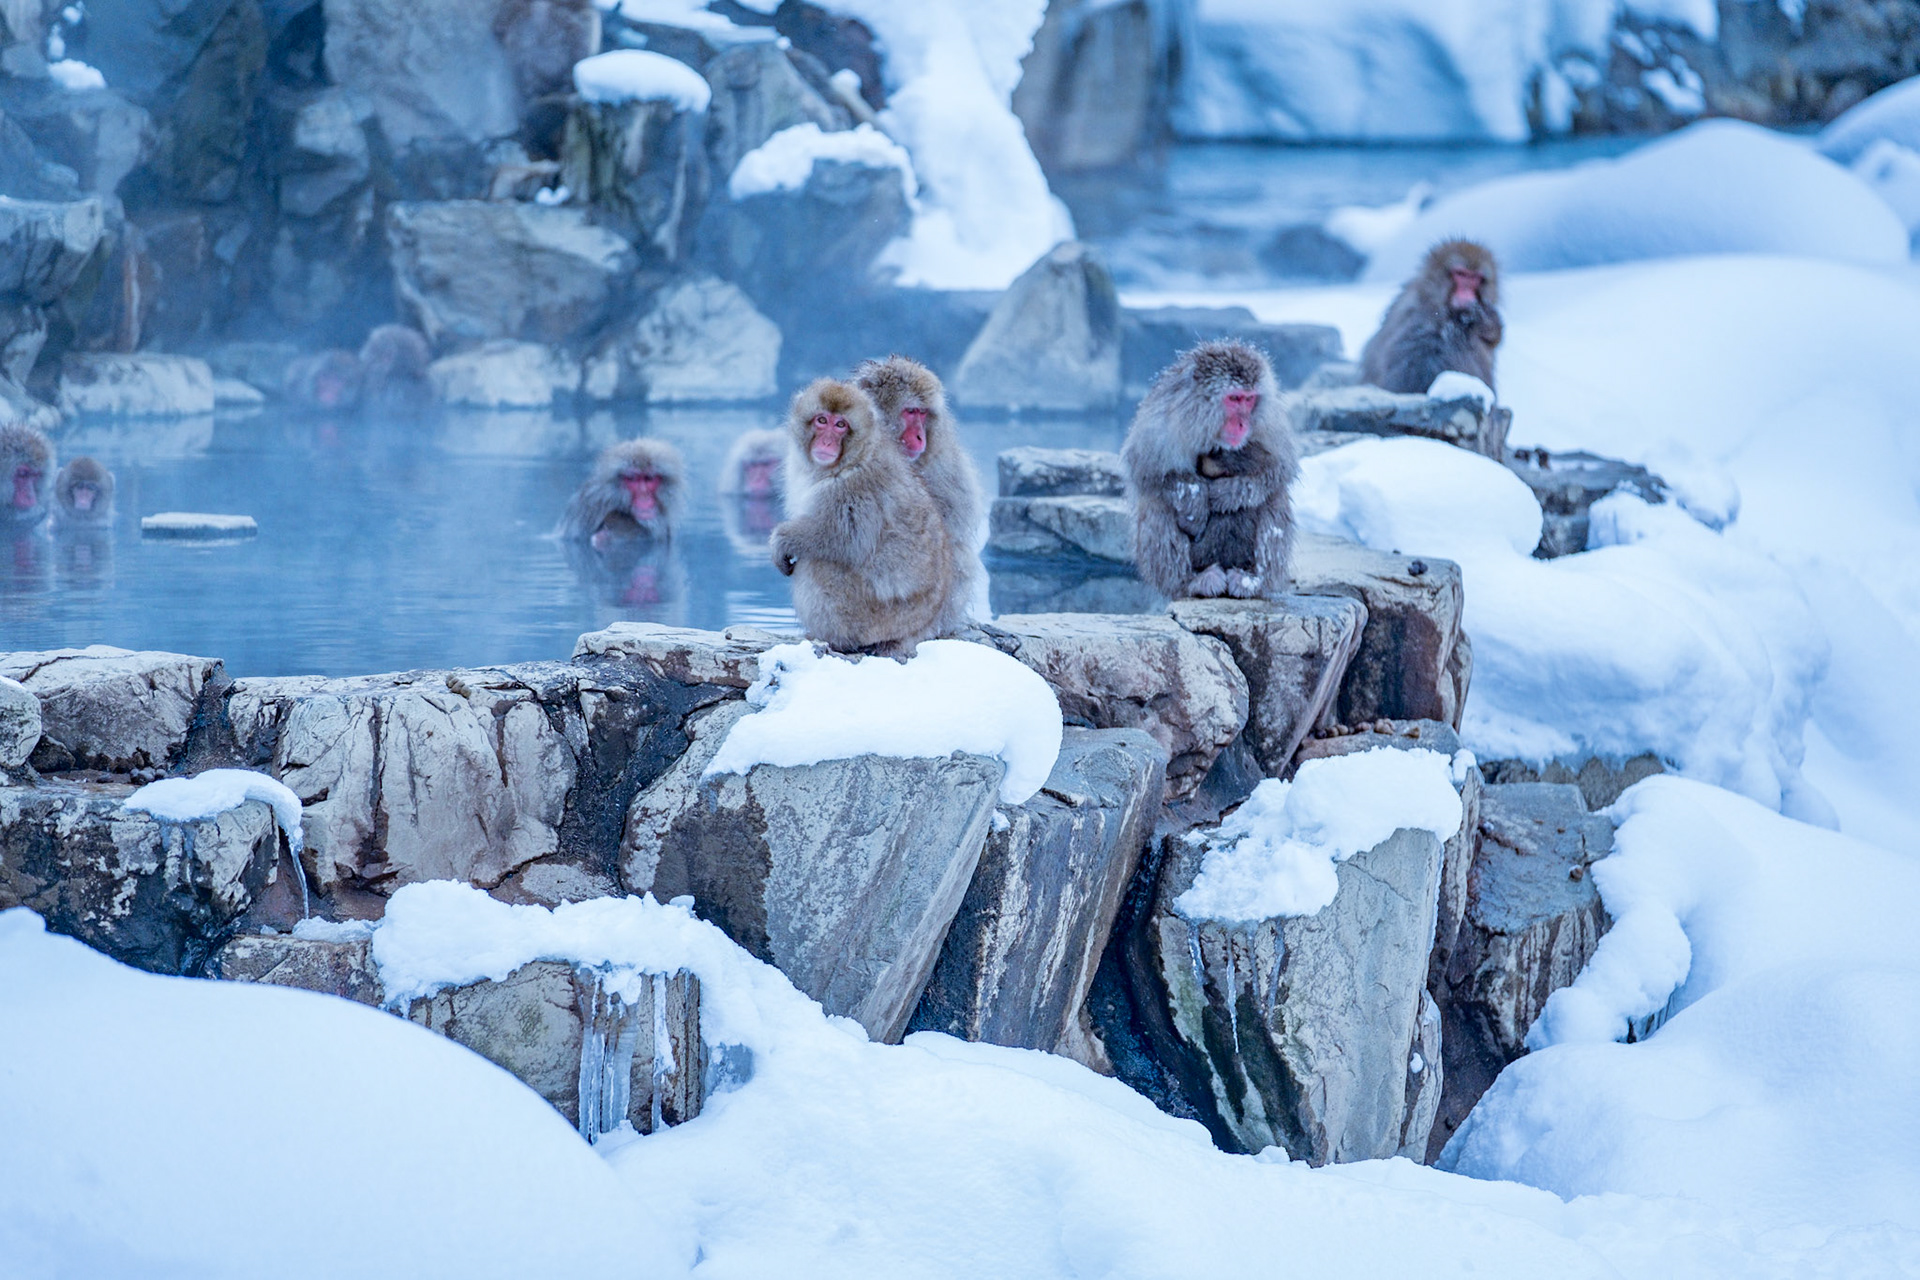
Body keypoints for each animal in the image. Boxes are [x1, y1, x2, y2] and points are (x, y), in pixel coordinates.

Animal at [770, 378, 951, 656]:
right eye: (822, 420)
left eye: (841, 425)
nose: (827, 442)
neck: (850, 458)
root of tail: (921, 629)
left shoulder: (857, 489)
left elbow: (845, 539)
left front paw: (781, 541)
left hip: (871, 618)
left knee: (818, 563)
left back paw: (836, 641)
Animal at [1122, 340, 1297, 601]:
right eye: (1234, 398)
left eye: (1249, 399)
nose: (1243, 424)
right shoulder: (1161, 420)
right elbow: (1146, 470)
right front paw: (1195, 502)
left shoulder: (1268, 423)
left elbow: (1280, 468)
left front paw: (1231, 492)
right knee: (1156, 502)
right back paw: (1193, 582)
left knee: (1275, 498)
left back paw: (1250, 581)